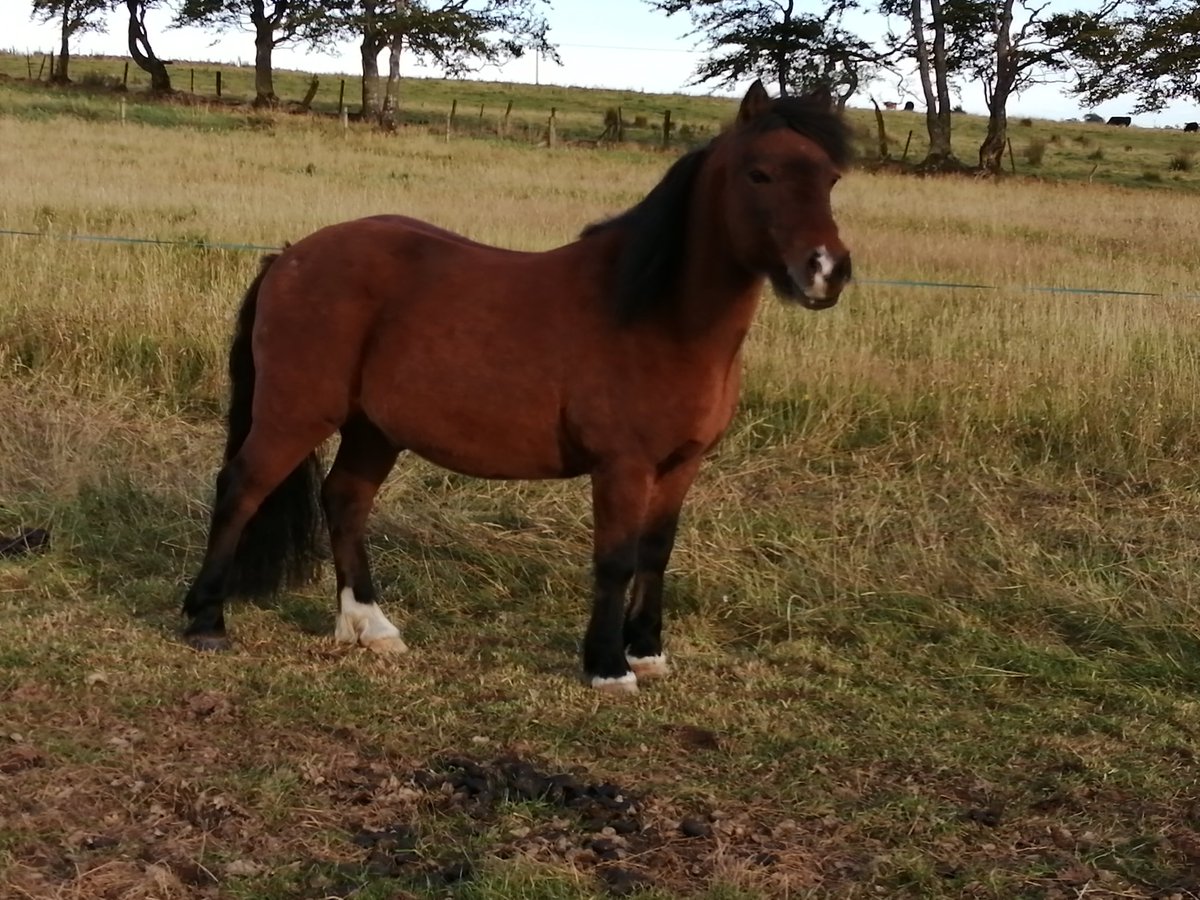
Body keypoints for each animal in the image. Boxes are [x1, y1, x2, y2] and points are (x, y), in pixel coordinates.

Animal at [180, 79, 854, 696]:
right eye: (760, 174)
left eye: (831, 179)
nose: (827, 272)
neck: (657, 317)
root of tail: (290, 256)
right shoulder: (623, 466)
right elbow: (616, 559)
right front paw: (608, 667)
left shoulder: (682, 464)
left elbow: (656, 552)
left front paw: (647, 653)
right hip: (295, 413)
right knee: (242, 488)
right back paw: (207, 620)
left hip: (374, 429)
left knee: (345, 500)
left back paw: (370, 627)